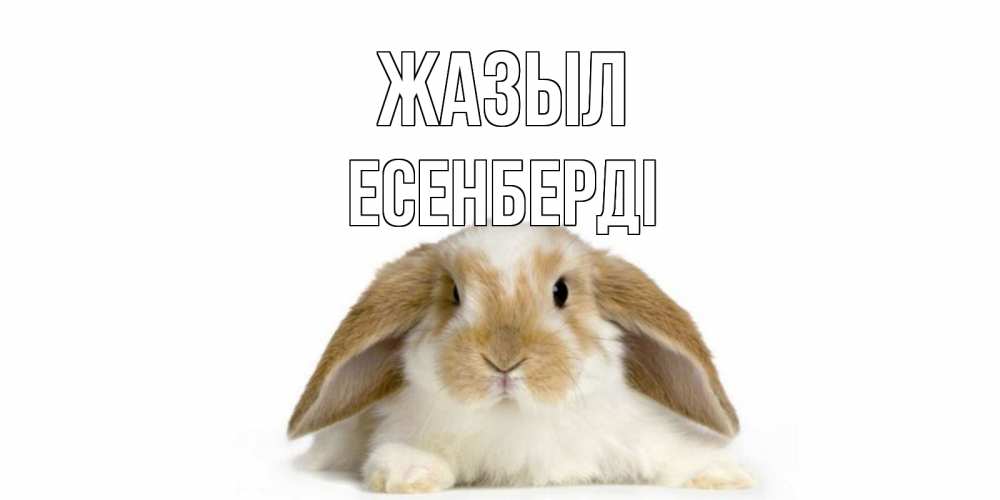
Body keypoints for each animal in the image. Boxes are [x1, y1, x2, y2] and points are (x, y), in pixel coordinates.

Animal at [288, 225, 753, 493]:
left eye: (561, 291)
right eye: (454, 294)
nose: (504, 359)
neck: (514, 416)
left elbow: (671, 452)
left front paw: (724, 475)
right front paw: (409, 474)